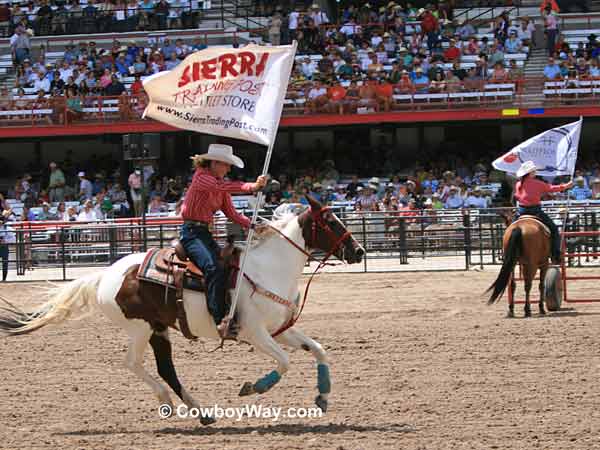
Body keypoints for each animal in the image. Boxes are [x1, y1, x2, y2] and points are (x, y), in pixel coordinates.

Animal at [0, 197, 364, 426]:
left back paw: (201, 411)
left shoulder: (282, 329)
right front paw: (253, 387)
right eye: (330, 221)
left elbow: (319, 350)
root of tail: (105, 275)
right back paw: (167, 402)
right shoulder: (254, 332)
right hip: (141, 328)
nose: (358, 251)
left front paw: (323, 396)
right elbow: (285, 363)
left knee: (167, 369)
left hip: (159, 329)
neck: (269, 268)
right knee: (134, 364)